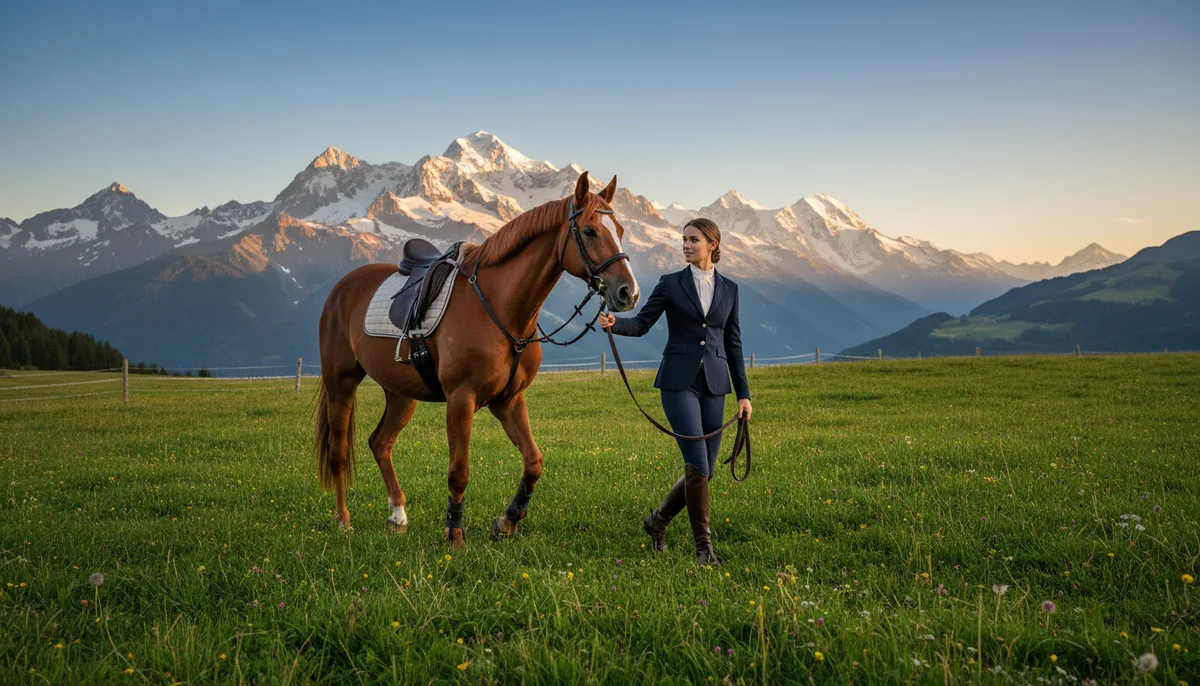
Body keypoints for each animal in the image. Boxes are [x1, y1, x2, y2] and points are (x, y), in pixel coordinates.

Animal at [313, 172, 640, 547]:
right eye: (589, 231)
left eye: (620, 229)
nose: (629, 293)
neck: (500, 306)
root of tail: (342, 288)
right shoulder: (461, 398)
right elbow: (459, 472)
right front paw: (454, 533)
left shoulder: (509, 400)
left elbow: (534, 462)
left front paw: (508, 521)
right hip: (341, 383)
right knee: (339, 451)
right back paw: (343, 520)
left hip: (400, 394)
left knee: (380, 443)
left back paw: (397, 515)